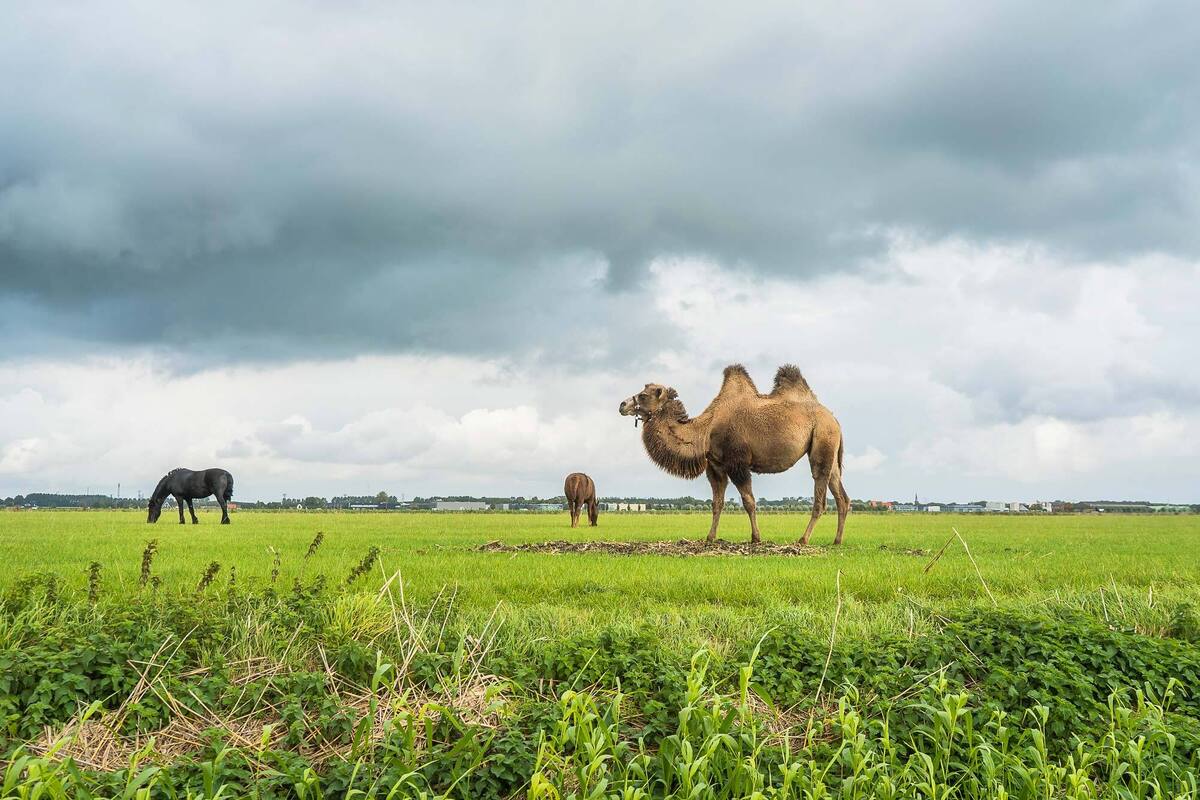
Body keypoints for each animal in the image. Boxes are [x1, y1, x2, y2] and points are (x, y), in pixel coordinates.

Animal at [624, 367, 849, 546]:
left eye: (643, 395)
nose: (622, 405)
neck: (705, 430)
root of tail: (835, 420)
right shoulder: (716, 466)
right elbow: (717, 503)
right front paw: (710, 538)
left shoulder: (737, 463)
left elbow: (748, 501)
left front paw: (756, 538)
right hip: (830, 448)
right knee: (841, 494)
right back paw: (837, 541)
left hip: (822, 439)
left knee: (820, 492)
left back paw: (803, 539)